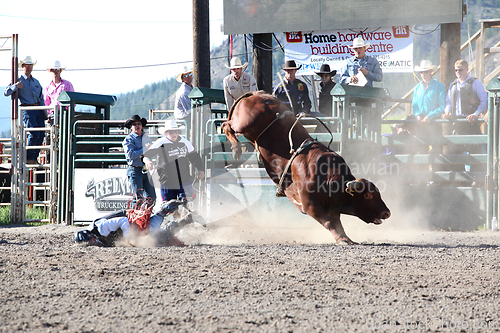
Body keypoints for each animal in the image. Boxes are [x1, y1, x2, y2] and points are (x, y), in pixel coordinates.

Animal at [222, 91, 390, 244]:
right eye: (367, 195)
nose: (387, 213)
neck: (328, 177)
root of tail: (258, 94)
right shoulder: (310, 205)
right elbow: (329, 222)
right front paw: (342, 239)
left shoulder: (331, 207)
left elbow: (337, 224)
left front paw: (345, 238)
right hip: (244, 123)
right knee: (226, 125)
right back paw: (236, 149)